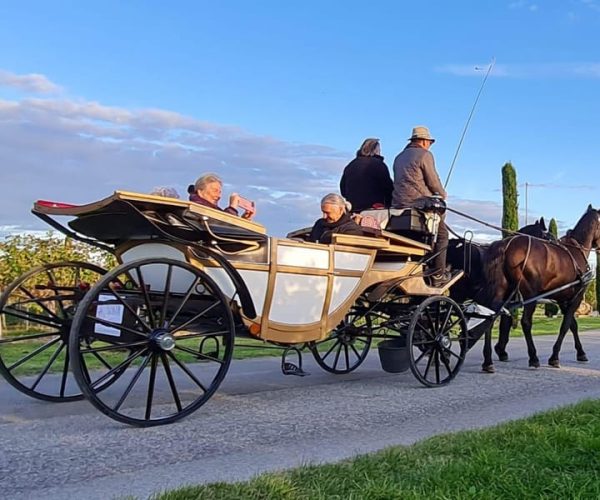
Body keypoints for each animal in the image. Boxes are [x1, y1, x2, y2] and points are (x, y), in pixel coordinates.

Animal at [480, 206, 600, 372]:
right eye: (547, 234)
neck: (576, 249)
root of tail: (506, 246)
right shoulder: (576, 297)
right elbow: (566, 326)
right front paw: (554, 357)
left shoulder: (563, 299)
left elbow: (573, 325)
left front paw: (580, 353)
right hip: (530, 295)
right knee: (525, 322)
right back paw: (533, 358)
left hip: (500, 293)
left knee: (490, 318)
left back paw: (488, 361)